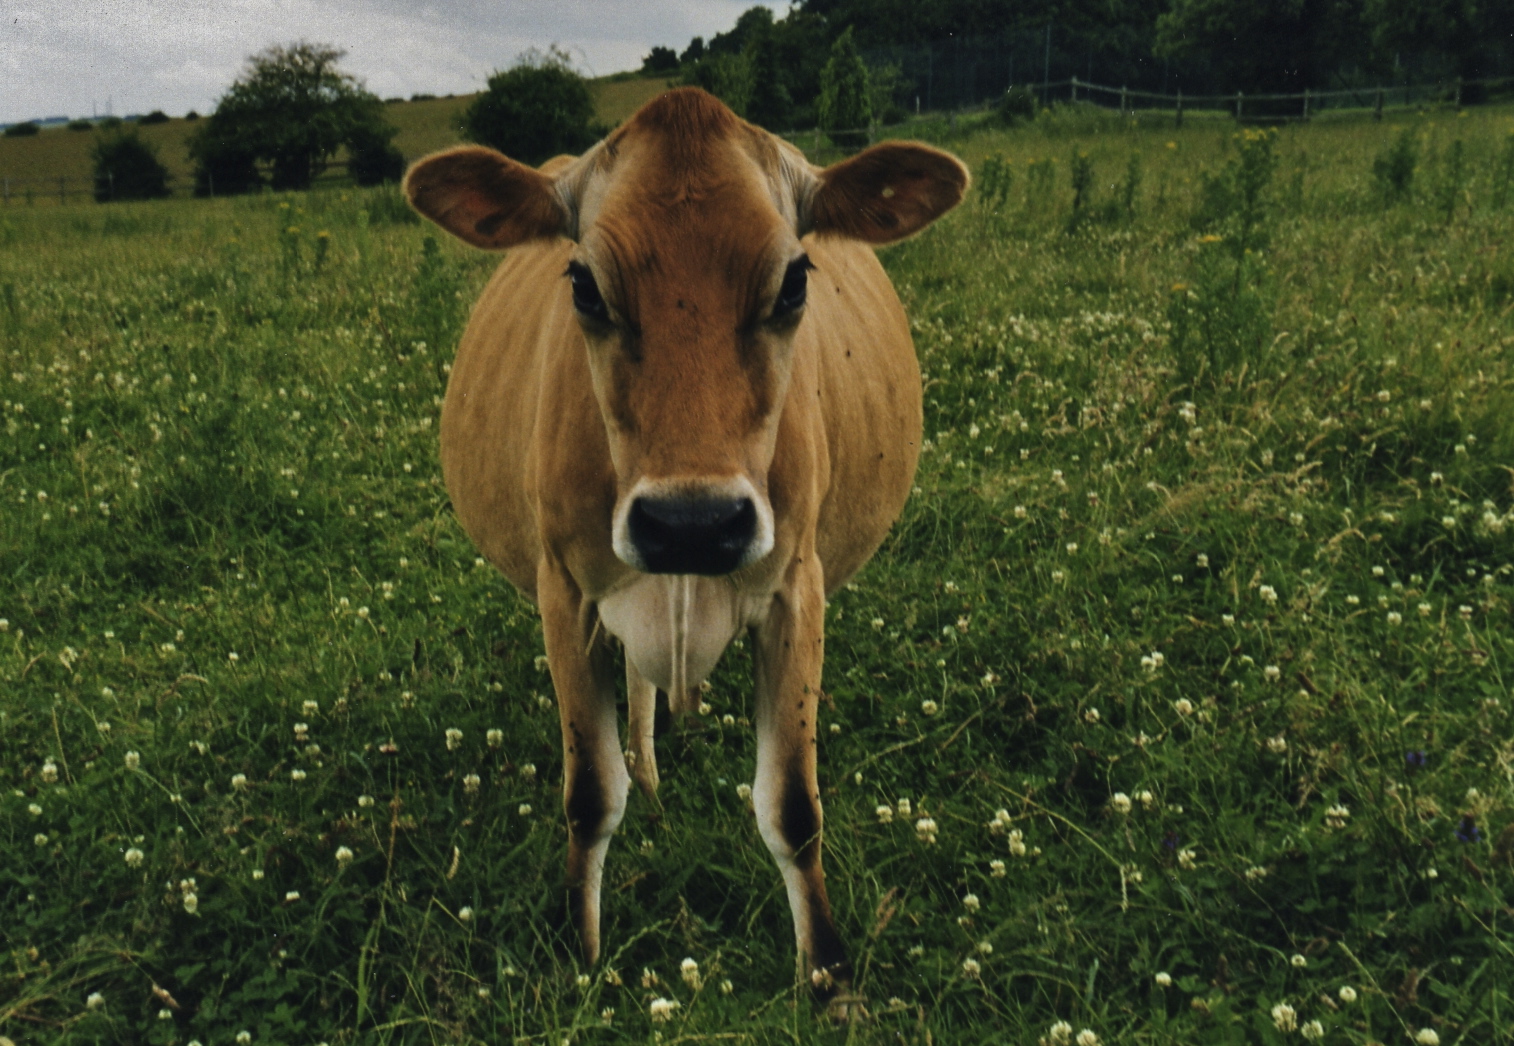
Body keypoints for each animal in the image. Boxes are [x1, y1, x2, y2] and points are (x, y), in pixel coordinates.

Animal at [403, 87, 966, 1004]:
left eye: (795, 280)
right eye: (585, 285)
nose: (692, 524)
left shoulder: (796, 588)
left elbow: (793, 808)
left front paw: (828, 974)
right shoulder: (566, 592)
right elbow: (590, 794)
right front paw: (582, 953)